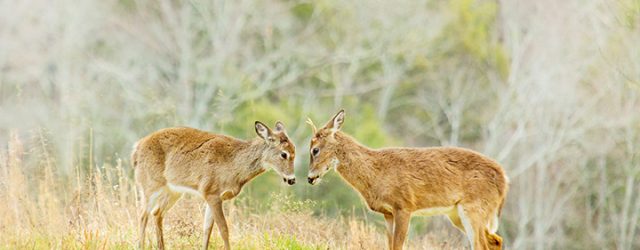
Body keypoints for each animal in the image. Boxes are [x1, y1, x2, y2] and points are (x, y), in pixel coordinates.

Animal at [133, 121, 298, 250]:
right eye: (284, 154)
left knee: (157, 213)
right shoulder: (211, 192)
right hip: (149, 184)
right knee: (142, 215)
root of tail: (137, 147)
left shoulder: (214, 196)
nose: (292, 179)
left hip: (173, 191)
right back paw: (140, 245)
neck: (234, 166)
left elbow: (207, 229)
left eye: (294, 151)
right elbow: (223, 229)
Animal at [308, 111, 508, 250]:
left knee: (481, 245)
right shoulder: (388, 212)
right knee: (495, 241)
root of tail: (504, 180)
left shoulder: (404, 205)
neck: (376, 172)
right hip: (457, 213)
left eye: (315, 150)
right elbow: (390, 246)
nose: (310, 178)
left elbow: (398, 246)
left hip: (474, 208)